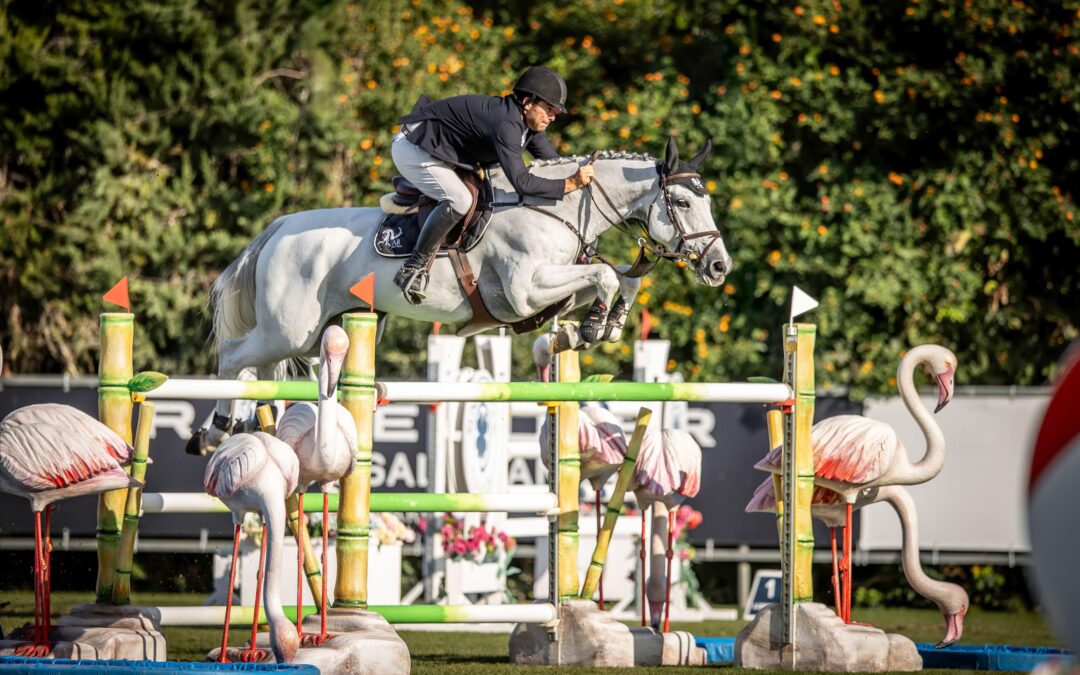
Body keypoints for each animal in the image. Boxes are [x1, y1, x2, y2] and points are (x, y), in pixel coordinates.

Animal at [189, 136, 732, 454]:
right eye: (682, 202)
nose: (718, 267)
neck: (555, 207)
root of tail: (278, 227)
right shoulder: (524, 290)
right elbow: (604, 276)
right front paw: (592, 327)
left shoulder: (548, 289)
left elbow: (620, 278)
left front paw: (601, 326)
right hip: (290, 328)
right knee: (233, 357)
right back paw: (217, 429)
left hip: (311, 331)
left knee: (259, 371)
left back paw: (248, 426)